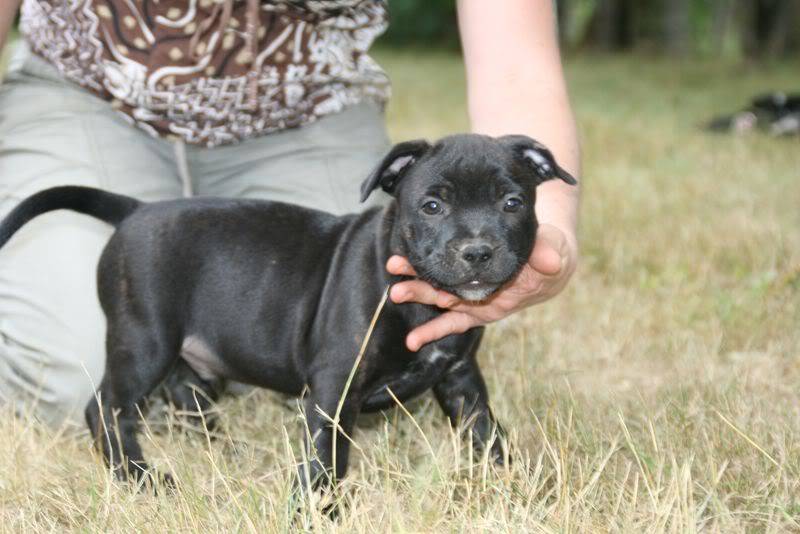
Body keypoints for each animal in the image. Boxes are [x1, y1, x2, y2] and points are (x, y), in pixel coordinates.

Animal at [0, 135, 576, 494]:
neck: (417, 295)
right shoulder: (335, 386)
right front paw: (317, 509)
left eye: (512, 203)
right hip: (144, 342)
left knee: (186, 399)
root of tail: (136, 209)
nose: (478, 251)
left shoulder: (460, 379)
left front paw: (518, 489)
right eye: (433, 206)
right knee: (107, 410)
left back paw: (223, 456)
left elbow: (486, 436)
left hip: (188, 358)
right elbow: (326, 458)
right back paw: (141, 480)